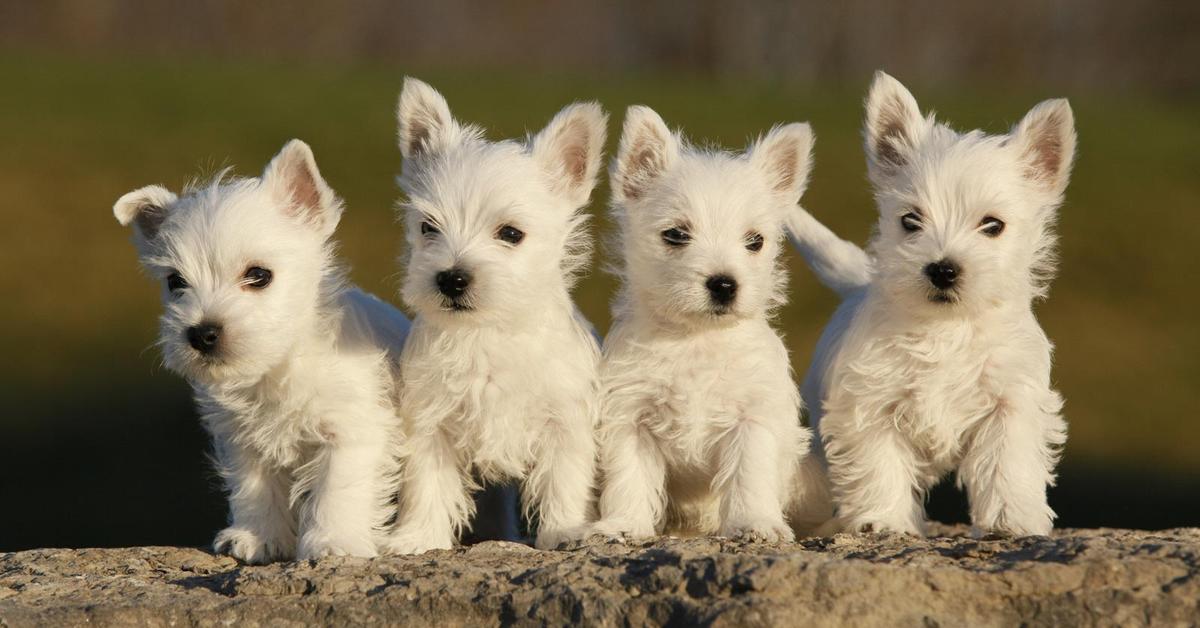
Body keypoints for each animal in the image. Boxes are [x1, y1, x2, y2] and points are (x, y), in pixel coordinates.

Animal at [113, 139, 412, 561]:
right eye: (175, 282)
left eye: (258, 275)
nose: (201, 333)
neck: (278, 366)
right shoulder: (244, 441)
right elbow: (254, 489)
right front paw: (258, 537)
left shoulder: (351, 430)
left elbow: (337, 489)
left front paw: (333, 541)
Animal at [386, 76, 604, 552]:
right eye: (428, 227)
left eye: (511, 234)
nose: (451, 278)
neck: (486, 333)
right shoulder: (431, 424)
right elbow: (426, 484)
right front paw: (417, 538)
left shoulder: (564, 423)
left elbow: (564, 481)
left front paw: (565, 530)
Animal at [590, 105, 816, 542]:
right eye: (676, 235)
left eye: (755, 241)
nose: (724, 284)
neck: (696, 338)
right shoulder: (631, 419)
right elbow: (629, 478)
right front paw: (623, 525)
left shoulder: (752, 418)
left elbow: (749, 475)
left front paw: (754, 523)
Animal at [787, 72, 1080, 535]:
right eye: (911, 220)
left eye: (993, 225)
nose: (942, 269)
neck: (946, 328)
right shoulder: (871, 405)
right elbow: (880, 463)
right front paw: (884, 520)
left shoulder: (1009, 403)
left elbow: (1006, 463)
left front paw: (1011, 519)